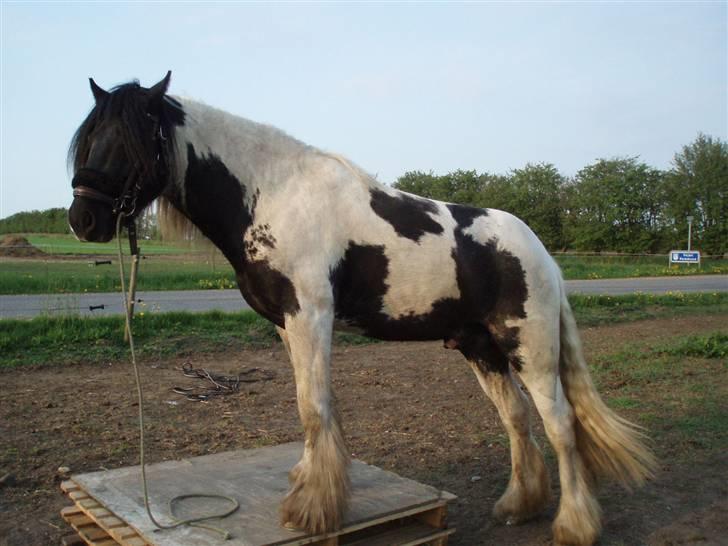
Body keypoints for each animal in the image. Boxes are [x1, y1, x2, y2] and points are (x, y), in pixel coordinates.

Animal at [68, 73, 656, 544]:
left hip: (528, 346)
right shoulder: (288, 325)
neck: (272, 193)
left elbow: (313, 407)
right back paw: (519, 506)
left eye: (129, 140)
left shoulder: (310, 316)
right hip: (481, 347)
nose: (83, 220)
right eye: (90, 138)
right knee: (515, 418)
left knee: (560, 423)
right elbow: (310, 403)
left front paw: (311, 510)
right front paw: (308, 484)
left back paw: (573, 526)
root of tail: (542, 254)